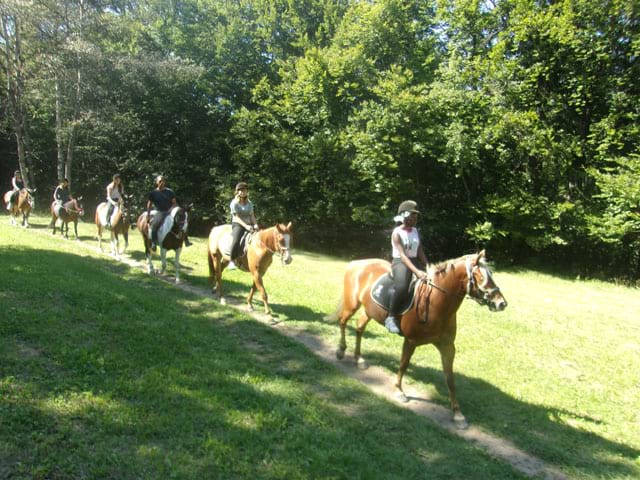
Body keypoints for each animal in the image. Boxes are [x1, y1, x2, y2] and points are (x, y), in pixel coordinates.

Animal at [332, 251, 508, 428]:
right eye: (480, 276)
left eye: (491, 274)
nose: (501, 303)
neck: (436, 303)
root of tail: (357, 263)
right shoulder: (411, 341)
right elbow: (403, 365)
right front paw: (399, 391)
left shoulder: (448, 347)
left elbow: (450, 378)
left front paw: (458, 414)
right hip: (352, 304)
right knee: (343, 322)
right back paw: (340, 351)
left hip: (369, 312)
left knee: (359, 328)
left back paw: (359, 359)